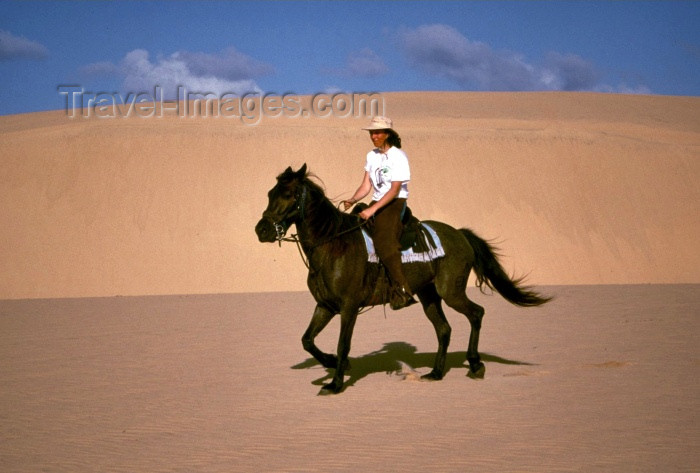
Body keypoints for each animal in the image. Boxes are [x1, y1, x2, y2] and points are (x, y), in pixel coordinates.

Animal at [254, 164, 548, 392]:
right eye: (269, 193)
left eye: (288, 194)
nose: (262, 230)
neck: (333, 245)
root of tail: (460, 234)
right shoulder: (325, 306)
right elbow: (307, 340)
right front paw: (330, 363)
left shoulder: (349, 307)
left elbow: (342, 344)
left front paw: (335, 383)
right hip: (428, 295)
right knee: (444, 329)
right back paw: (435, 373)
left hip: (451, 292)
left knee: (476, 313)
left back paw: (475, 364)